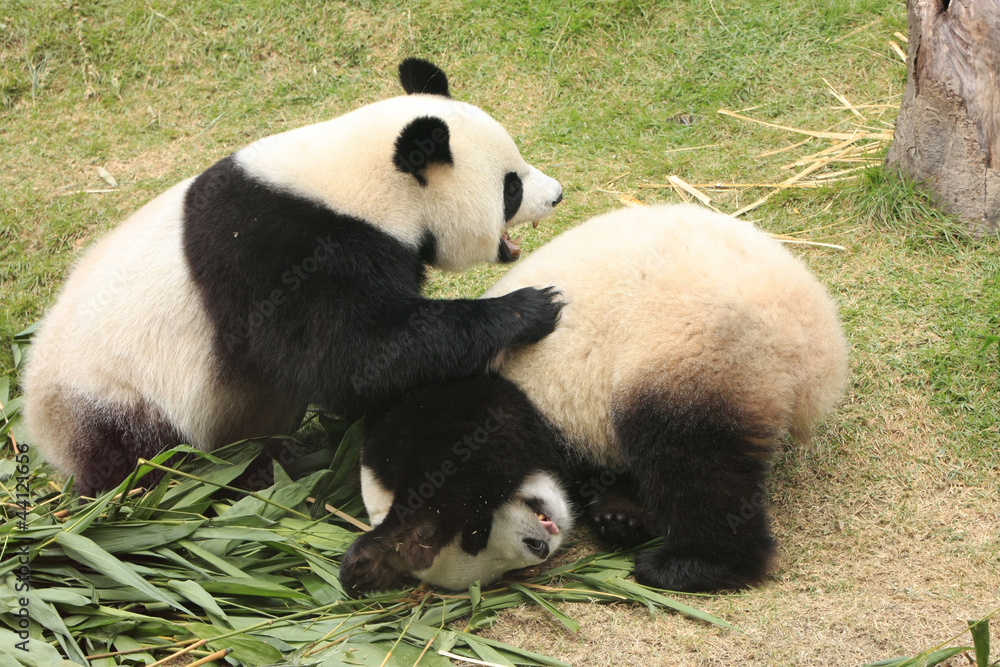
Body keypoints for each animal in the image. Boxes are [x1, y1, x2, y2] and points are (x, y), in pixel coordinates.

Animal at [22, 58, 564, 497]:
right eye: (511, 187)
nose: (557, 194)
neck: (358, 180)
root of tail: (36, 423)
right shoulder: (283, 252)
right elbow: (351, 353)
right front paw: (531, 308)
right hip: (116, 398)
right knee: (145, 457)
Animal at [340, 203, 849, 596]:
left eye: (476, 534)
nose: (538, 546)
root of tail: (814, 354)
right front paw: (620, 517)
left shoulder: (462, 407)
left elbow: (463, 468)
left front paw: (374, 553)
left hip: (698, 345)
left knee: (691, 458)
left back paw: (691, 567)